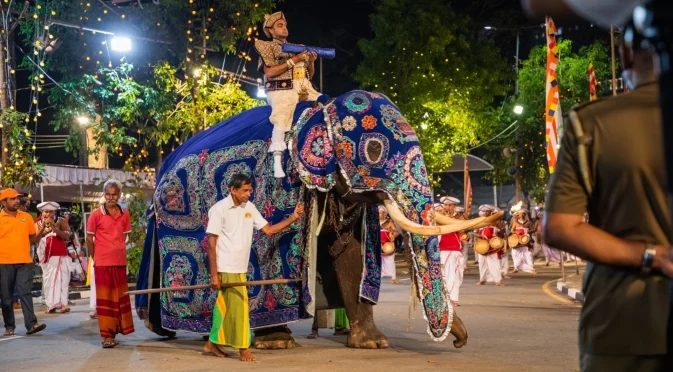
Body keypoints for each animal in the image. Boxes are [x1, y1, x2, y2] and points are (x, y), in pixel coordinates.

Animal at [135, 89, 498, 348]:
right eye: (375, 150)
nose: (459, 341)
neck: (320, 109)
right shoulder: (277, 187)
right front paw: (276, 342)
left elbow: (349, 253)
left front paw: (373, 343)